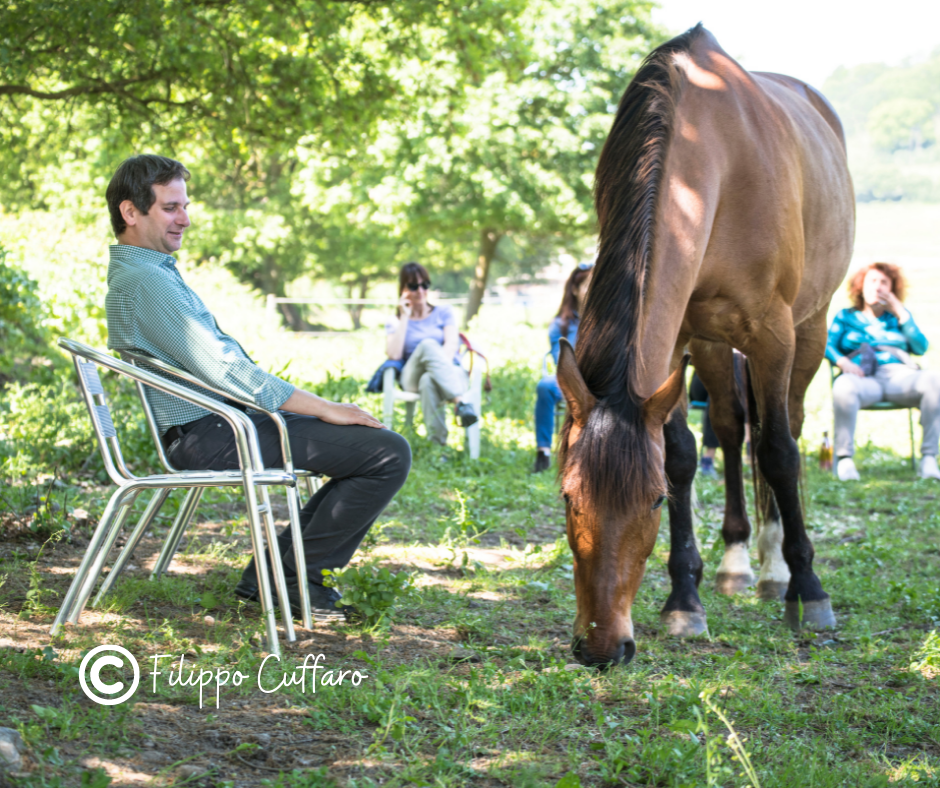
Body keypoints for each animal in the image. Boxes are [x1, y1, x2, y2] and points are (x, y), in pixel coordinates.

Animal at [556, 24, 855, 667]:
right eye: (568, 498)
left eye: (651, 501)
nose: (602, 646)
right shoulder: (675, 343)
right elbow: (684, 455)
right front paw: (683, 600)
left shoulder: (773, 334)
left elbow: (779, 453)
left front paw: (809, 592)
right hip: (714, 346)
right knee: (730, 427)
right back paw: (739, 563)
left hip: (809, 329)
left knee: (783, 429)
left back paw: (776, 568)